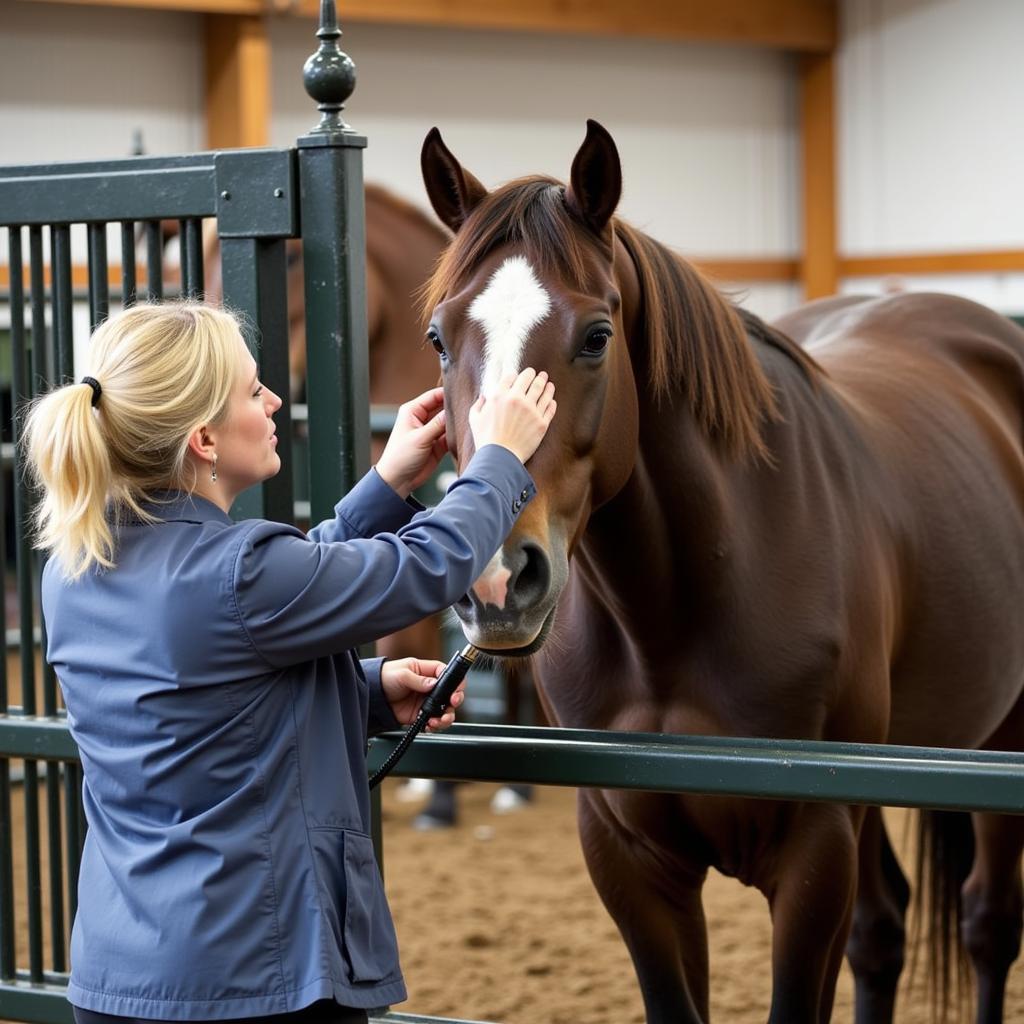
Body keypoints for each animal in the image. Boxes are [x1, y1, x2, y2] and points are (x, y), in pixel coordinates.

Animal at [417, 121, 1024, 1024]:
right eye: (439, 338)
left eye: (596, 336)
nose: (497, 579)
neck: (679, 614)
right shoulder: (631, 861)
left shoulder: (814, 856)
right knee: (884, 932)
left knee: (987, 924)